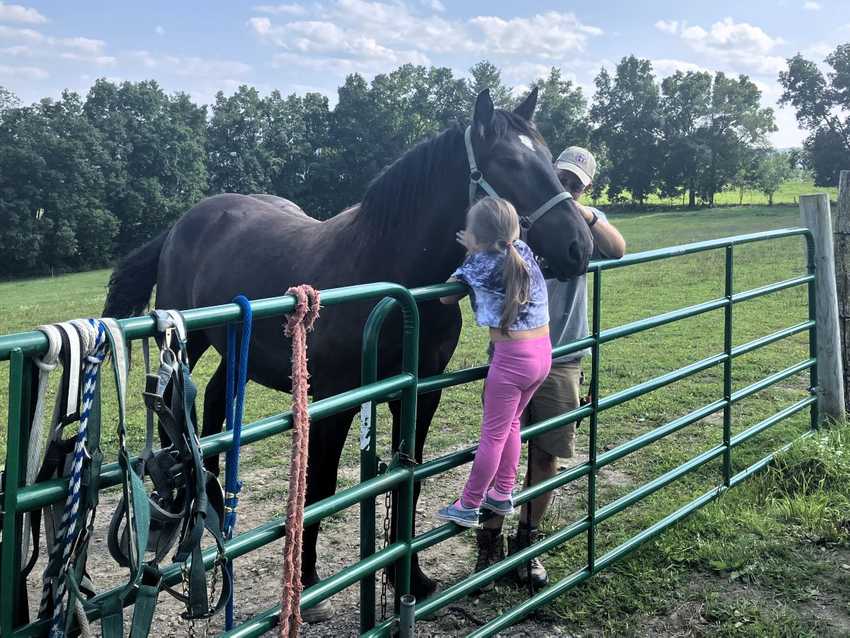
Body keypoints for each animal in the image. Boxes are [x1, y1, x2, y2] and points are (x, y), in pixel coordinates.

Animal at [104, 90, 588, 620]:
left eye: (547, 158)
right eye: (509, 163)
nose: (579, 246)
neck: (389, 275)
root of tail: (181, 225)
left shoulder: (420, 394)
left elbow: (408, 480)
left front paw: (413, 580)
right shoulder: (335, 402)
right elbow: (320, 487)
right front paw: (309, 585)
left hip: (236, 348)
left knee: (211, 403)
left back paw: (211, 492)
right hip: (188, 344)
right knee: (182, 413)